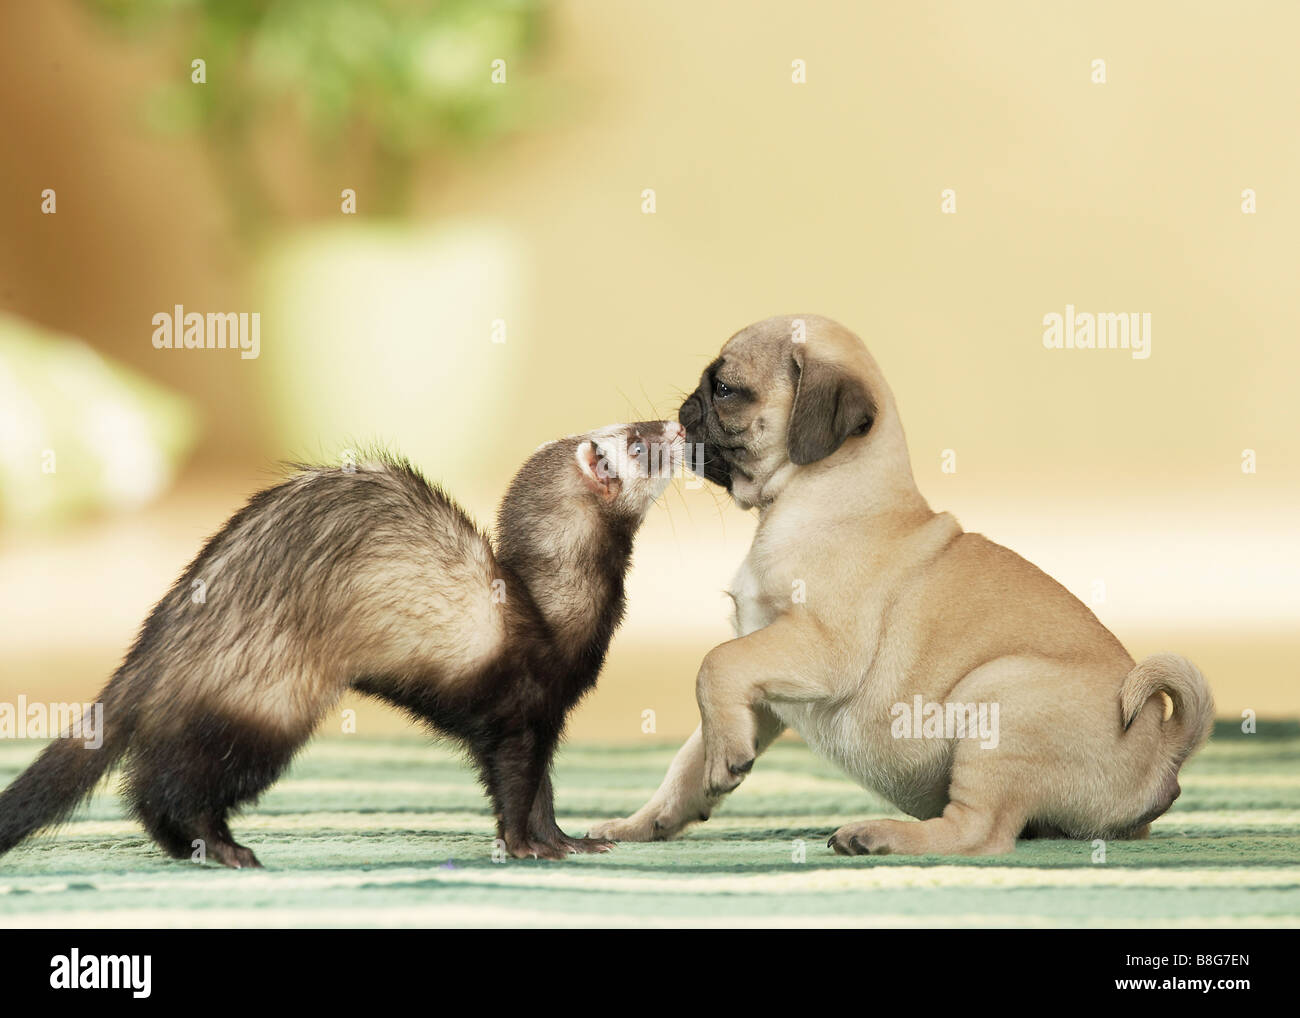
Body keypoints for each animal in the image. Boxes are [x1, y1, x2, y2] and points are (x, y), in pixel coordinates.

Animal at [595, 315, 1211, 852]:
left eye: (724, 389)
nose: (683, 412)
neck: (819, 491)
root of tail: (1163, 751)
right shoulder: (764, 682)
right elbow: (688, 757)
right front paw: (648, 820)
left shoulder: (818, 648)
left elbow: (713, 664)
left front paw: (723, 757)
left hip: (999, 703)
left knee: (981, 833)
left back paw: (879, 835)